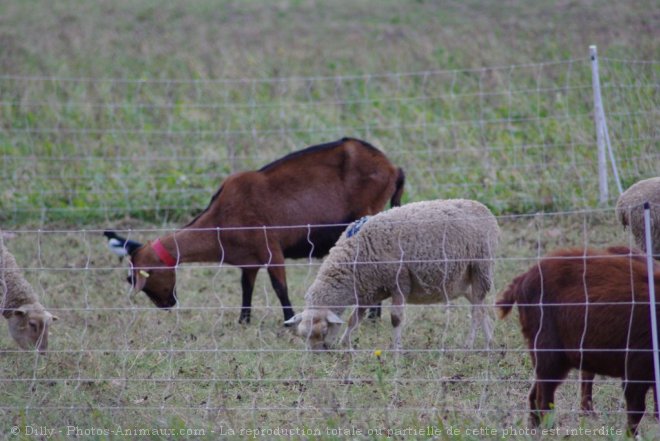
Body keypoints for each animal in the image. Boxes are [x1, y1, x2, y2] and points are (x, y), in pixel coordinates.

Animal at [284, 199, 500, 350]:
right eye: (303, 335)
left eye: (324, 331)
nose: (318, 356)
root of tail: (482, 207)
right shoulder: (368, 291)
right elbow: (354, 319)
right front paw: (346, 344)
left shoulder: (399, 282)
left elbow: (395, 318)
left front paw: (396, 350)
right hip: (463, 281)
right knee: (480, 306)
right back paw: (490, 342)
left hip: (481, 267)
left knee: (476, 311)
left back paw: (469, 344)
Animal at [500, 246, 660, 434]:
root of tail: (522, 279)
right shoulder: (637, 366)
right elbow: (635, 413)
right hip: (549, 352)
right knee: (543, 399)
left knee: (535, 395)